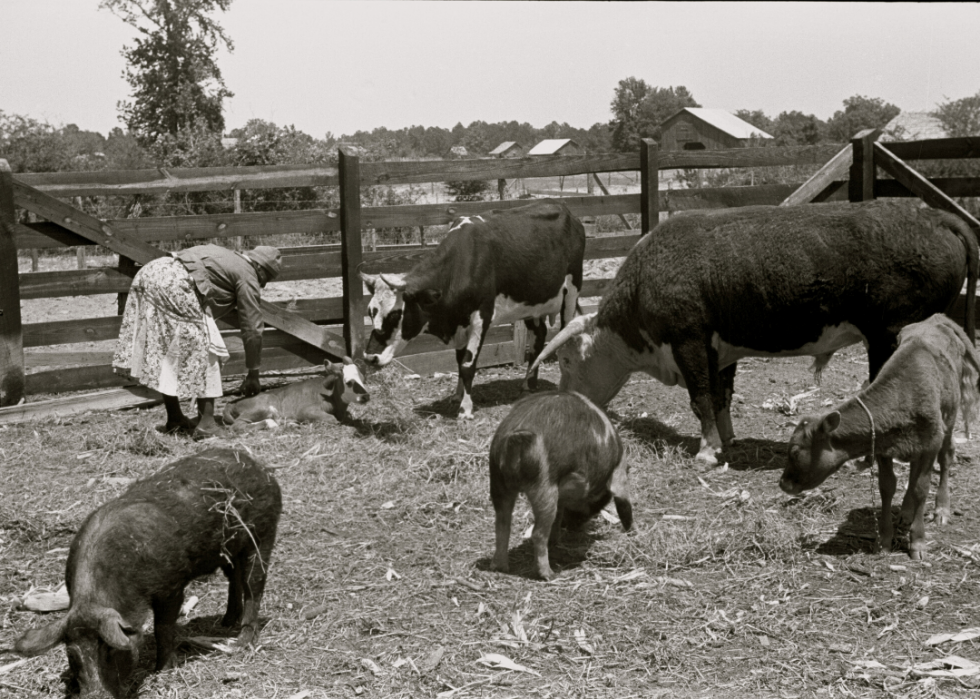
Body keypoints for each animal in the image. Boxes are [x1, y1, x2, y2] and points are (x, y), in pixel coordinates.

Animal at [220, 358, 370, 430]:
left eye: (363, 380)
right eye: (349, 382)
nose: (366, 396)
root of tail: (230, 404)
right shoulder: (305, 410)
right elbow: (333, 420)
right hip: (264, 407)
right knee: (237, 426)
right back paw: (271, 424)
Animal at [364, 202, 584, 422]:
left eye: (395, 314)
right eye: (370, 312)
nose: (369, 358)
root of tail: (567, 212)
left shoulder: (481, 318)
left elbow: (467, 365)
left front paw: (466, 408)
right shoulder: (460, 323)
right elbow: (458, 361)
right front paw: (457, 395)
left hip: (571, 293)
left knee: (565, 338)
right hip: (531, 305)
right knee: (539, 338)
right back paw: (528, 384)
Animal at [490, 392, 636, 584]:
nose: (573, 526)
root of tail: (515, 440)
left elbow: (558, 515)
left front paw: (556, 539)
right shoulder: (617, 472)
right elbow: (623, 502)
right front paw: (632, 533)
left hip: (497, 481)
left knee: (502, 524)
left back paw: (500, 567)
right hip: (544, 484)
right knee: (537, 533)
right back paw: (549, 575)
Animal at [532, 200, 976, 468]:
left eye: (566, 359)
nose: (566, 401)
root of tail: (934, 216)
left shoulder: (689, 342)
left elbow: (700, 398)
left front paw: (707, 451)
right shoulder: (720, 350)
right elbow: (721, 396)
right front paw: (726, 439)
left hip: (890, 335)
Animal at [780, 314, 980, 560]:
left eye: (795, 451)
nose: (782, 483)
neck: (904, 395)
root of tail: (938, 319)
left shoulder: (930, 444)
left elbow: (921, 488)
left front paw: (918, 541)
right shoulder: (884, 448)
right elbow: (887, 487)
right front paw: (884, 540)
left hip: (949, 420)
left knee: (946, 457)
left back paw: (941, 508)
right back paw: (906, 512)